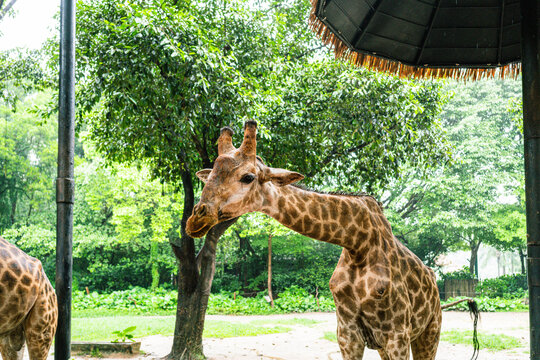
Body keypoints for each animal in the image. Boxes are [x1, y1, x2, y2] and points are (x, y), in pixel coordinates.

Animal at [187, 121, 480, 360]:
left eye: (247, 177)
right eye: (210, 175)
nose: (195, 220)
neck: (358, 243)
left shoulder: (397, 334)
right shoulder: (347, 334)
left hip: (429, 331)